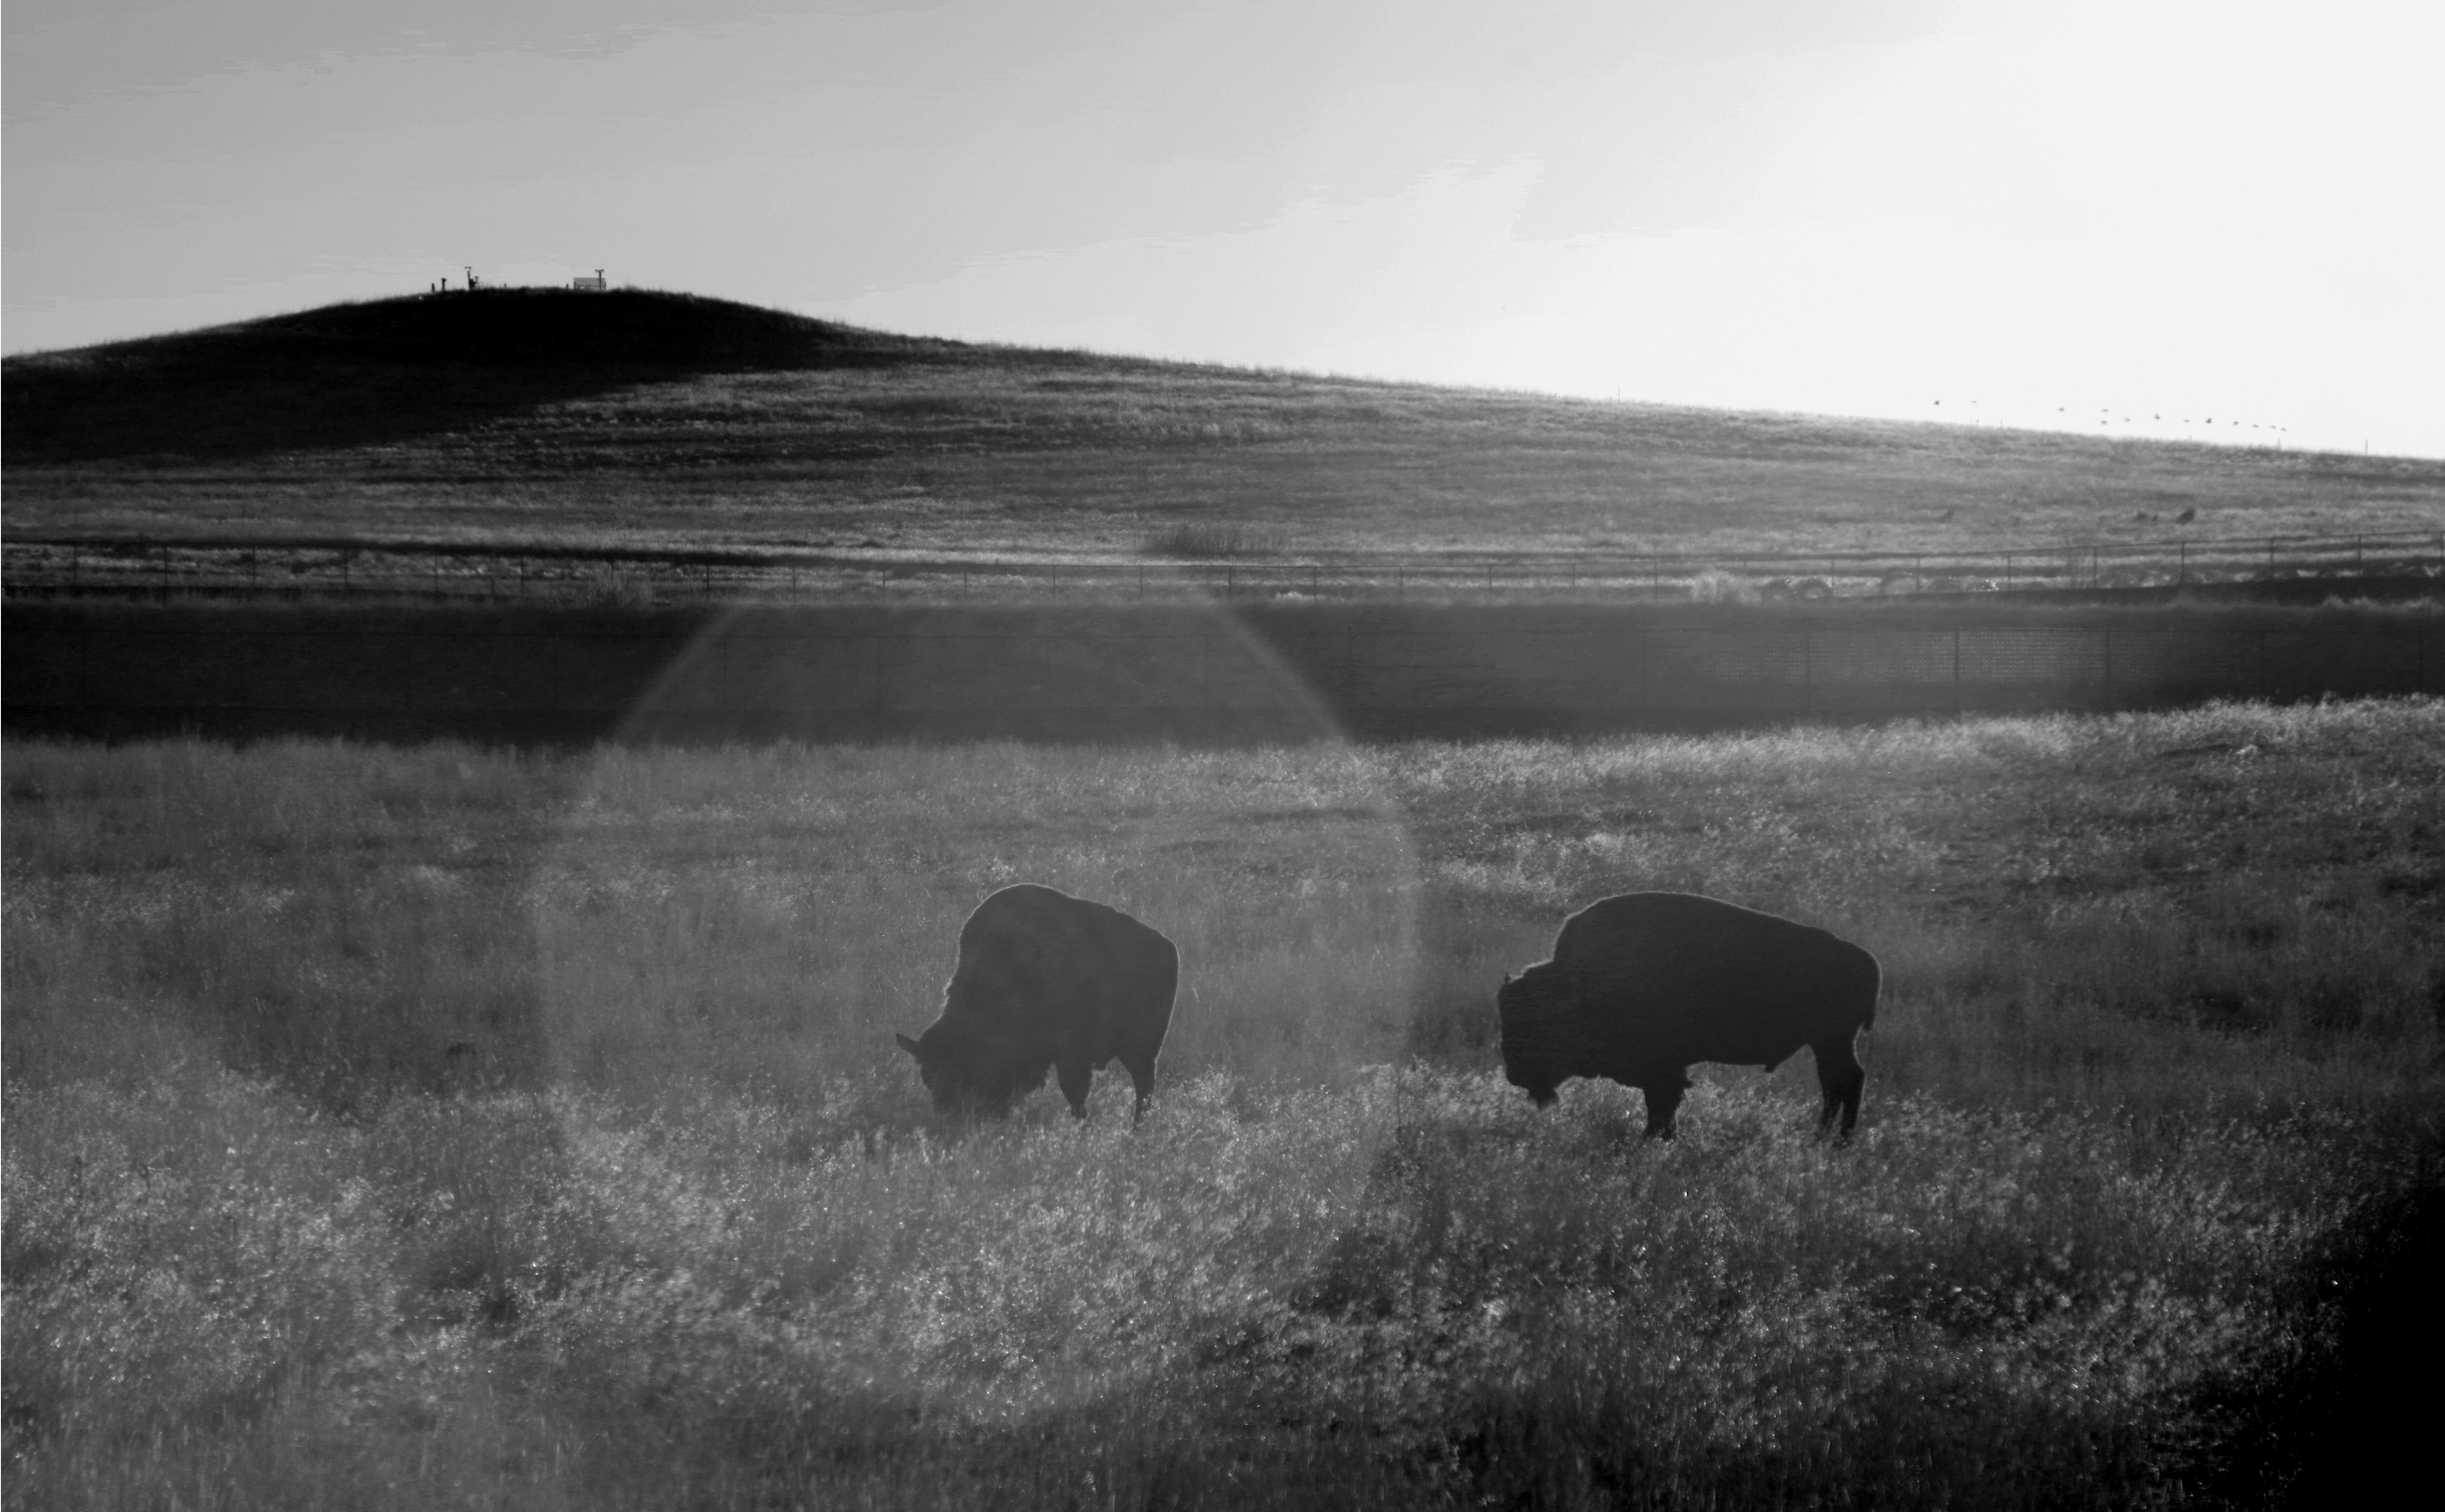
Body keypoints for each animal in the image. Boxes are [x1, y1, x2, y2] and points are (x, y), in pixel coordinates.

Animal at [896, 883, 1179, 1124]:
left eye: (961, 1075)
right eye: (928, 1079)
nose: (950, 1116)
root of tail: (1169, 947)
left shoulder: (1071, 1056)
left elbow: (1076, 1094)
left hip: (1140, 1050)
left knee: (1143, 1088)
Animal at [1498, 891, 1880, 1138]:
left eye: (1537, 1024)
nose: (1515, 1074)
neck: (1578, 986)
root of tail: (1865, 959)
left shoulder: (1661, 1069)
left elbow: (1661, 1103)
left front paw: (1655, 1138)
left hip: (1832, 1041)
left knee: (1845, 1082)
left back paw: (1835, 1140)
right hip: (1827, 1044)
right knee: (1838, 1083)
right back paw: (1826, 1137)